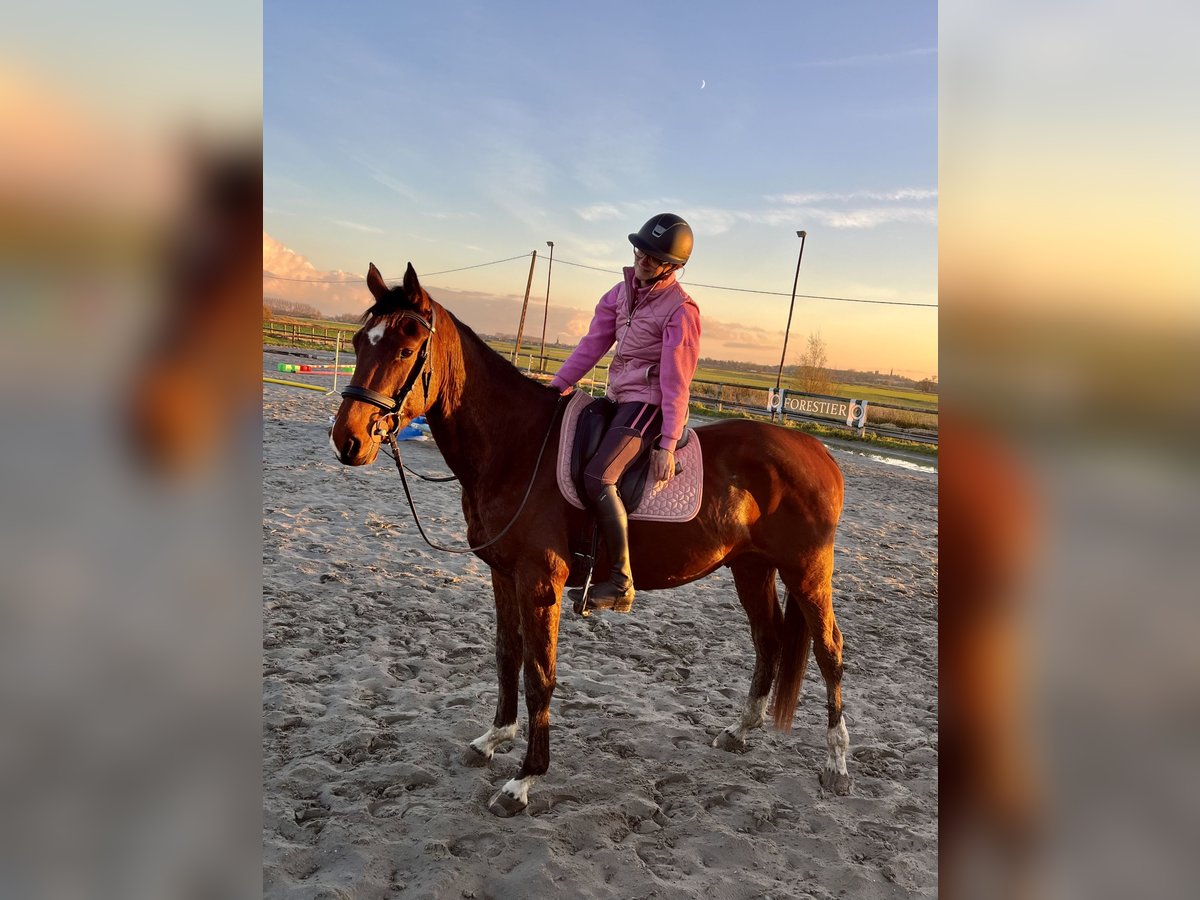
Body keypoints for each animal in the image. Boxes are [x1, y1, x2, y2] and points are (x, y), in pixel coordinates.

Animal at [330, 262, 850, 817]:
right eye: (360, 342)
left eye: (406, 350)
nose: (348, 440)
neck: (517, 447)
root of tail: (819, 451)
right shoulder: (503, 574)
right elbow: (507, 655)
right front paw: (493, 739)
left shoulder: (540, 582)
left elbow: (539, 674)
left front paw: (523, 780)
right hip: (751, 566)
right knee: (768, 640)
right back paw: (740, 730)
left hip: (806, 570)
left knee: (829, 651)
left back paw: (837, 763)